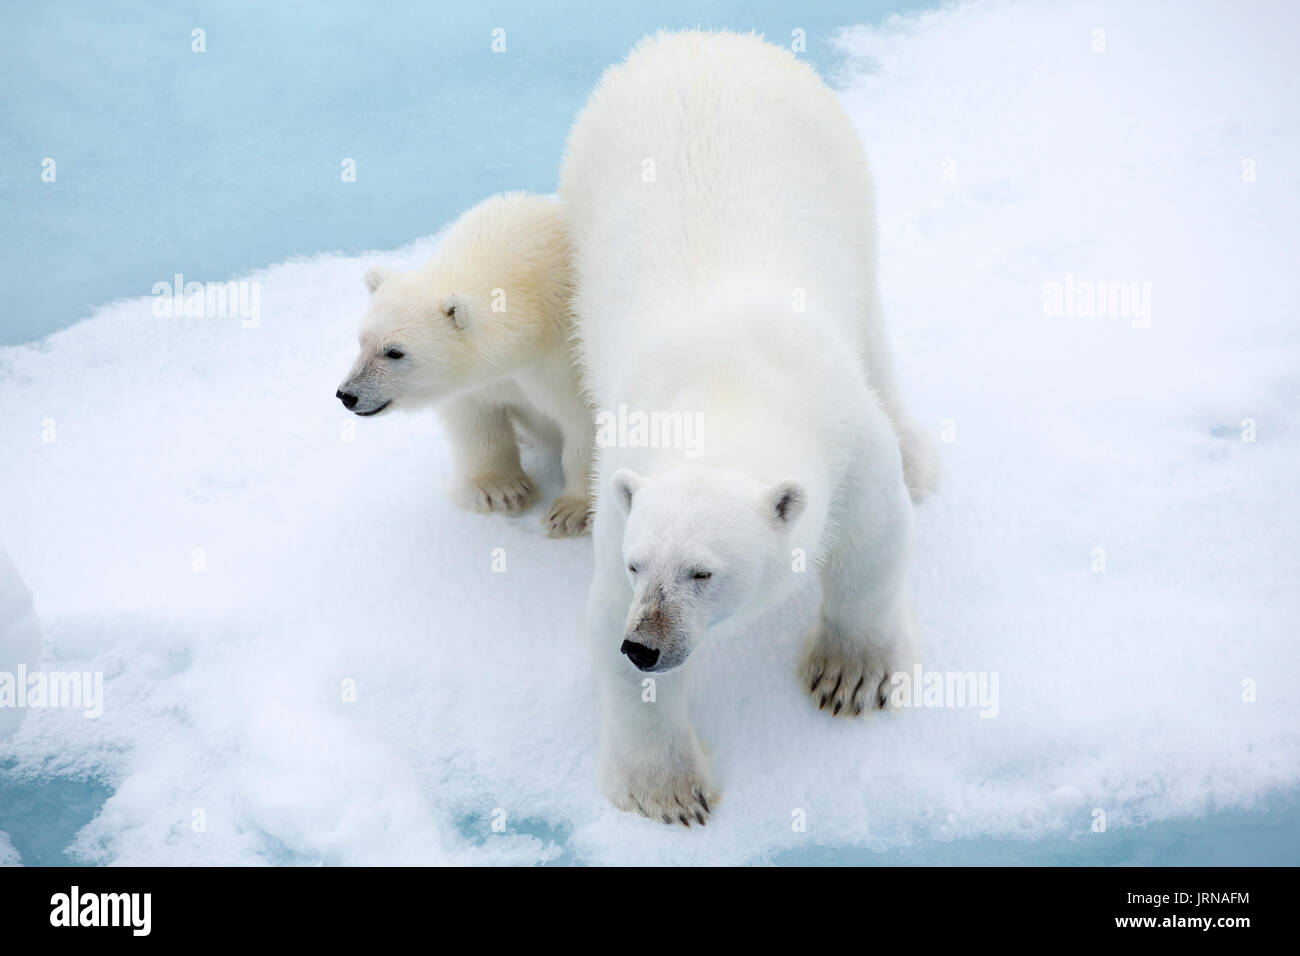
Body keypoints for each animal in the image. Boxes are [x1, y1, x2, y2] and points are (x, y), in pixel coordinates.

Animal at [336, 192, 594, 537]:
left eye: (394, 352)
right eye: (362, 341)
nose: (347, 394)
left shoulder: (567, 356)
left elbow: (585, 422)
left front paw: (572, 512)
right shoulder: (484, 380)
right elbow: (474, 417)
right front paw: (500, 491)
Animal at [558, 31, 936, 824]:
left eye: (703, 571)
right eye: (640, 565)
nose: (645, 645)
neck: (727, 385)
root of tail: (699, 40)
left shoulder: (844, 435)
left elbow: (874, 539)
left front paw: (850, 677)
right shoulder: (625, 486)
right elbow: (604, 618)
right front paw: (667, 792)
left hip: (845, 173)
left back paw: (920, 456)